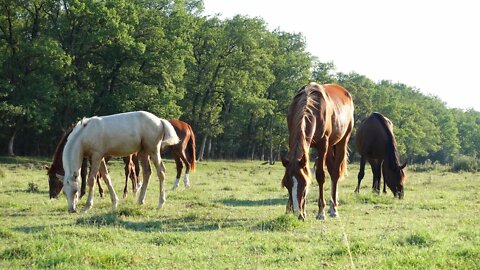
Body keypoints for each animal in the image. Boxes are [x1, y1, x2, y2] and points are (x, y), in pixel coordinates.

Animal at [282, 83, 352, 220]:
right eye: (286, 185)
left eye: (305, 185)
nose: (298, 214)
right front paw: (289, 210)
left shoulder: (323, 145)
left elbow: (320, 176)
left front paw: (321, 212)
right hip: (330, 147)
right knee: (331, 170)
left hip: (341, 141)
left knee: (335, 173)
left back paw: (333, 209)